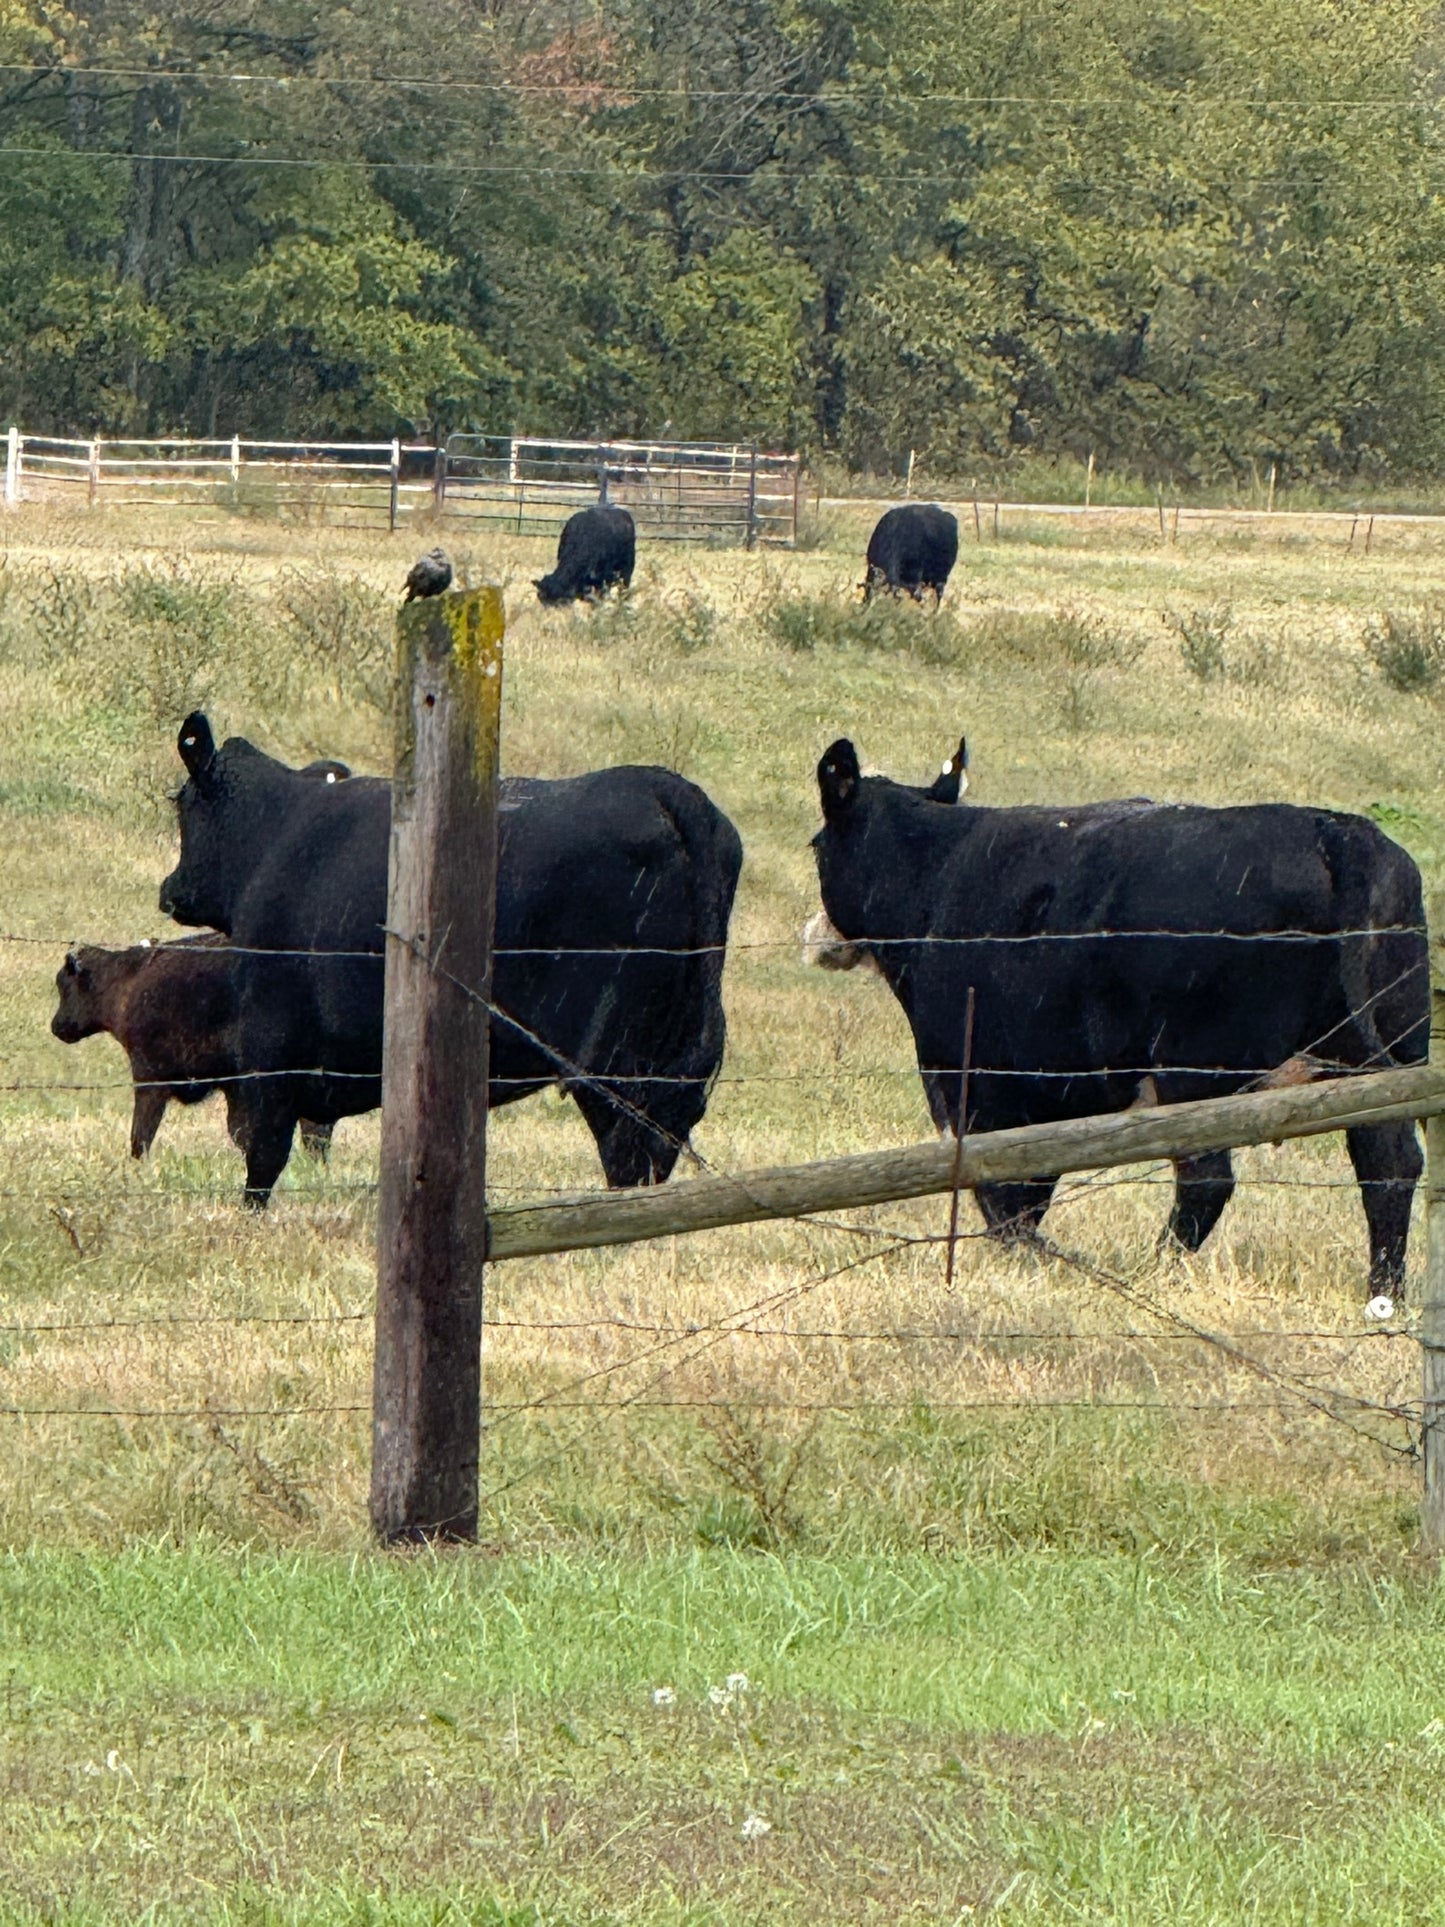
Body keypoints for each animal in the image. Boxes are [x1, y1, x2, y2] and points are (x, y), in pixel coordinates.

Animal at [158, 713, 742, 1206]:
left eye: (182, 804)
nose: (170, 889)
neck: (276, 837)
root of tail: (666, 788)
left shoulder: (272, 1034)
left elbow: (262, 1148)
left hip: (613, 1048)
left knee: (629, 1140)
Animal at [810, 736, 1429, 1298]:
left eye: (816, 844)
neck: (938, 871)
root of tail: (1333, 830)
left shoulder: (979, 1081)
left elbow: (1006, 1188)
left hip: (1194, 1070)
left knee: (1206, 1180)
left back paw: (1153, 1273)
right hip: (1385, 1055)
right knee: (1389, 1157)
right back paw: (1384, 1292)